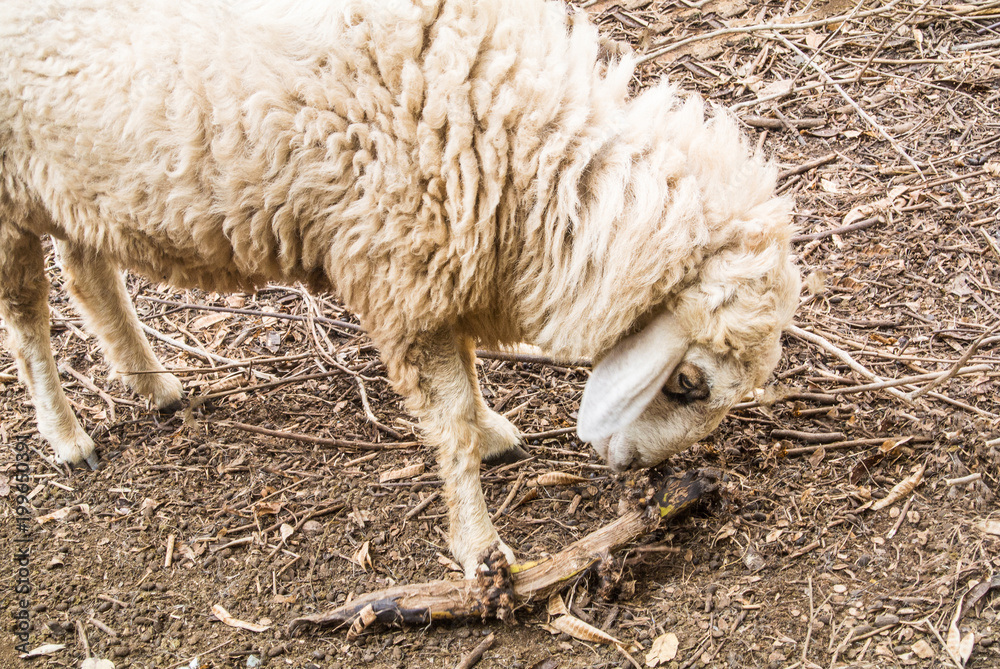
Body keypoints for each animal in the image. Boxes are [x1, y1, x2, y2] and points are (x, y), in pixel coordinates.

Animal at [0, 0, 800, 576]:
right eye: (688, 383)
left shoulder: (449, 272)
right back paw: (67, 435)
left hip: (81, 178)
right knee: (29, 317)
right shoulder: (405, 279)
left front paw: (493, 431)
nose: (631, 468)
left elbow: (468, 379)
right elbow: (447, 419)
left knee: (89, 273)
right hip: (14, 188)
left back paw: (154, 384)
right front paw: (480, 546)